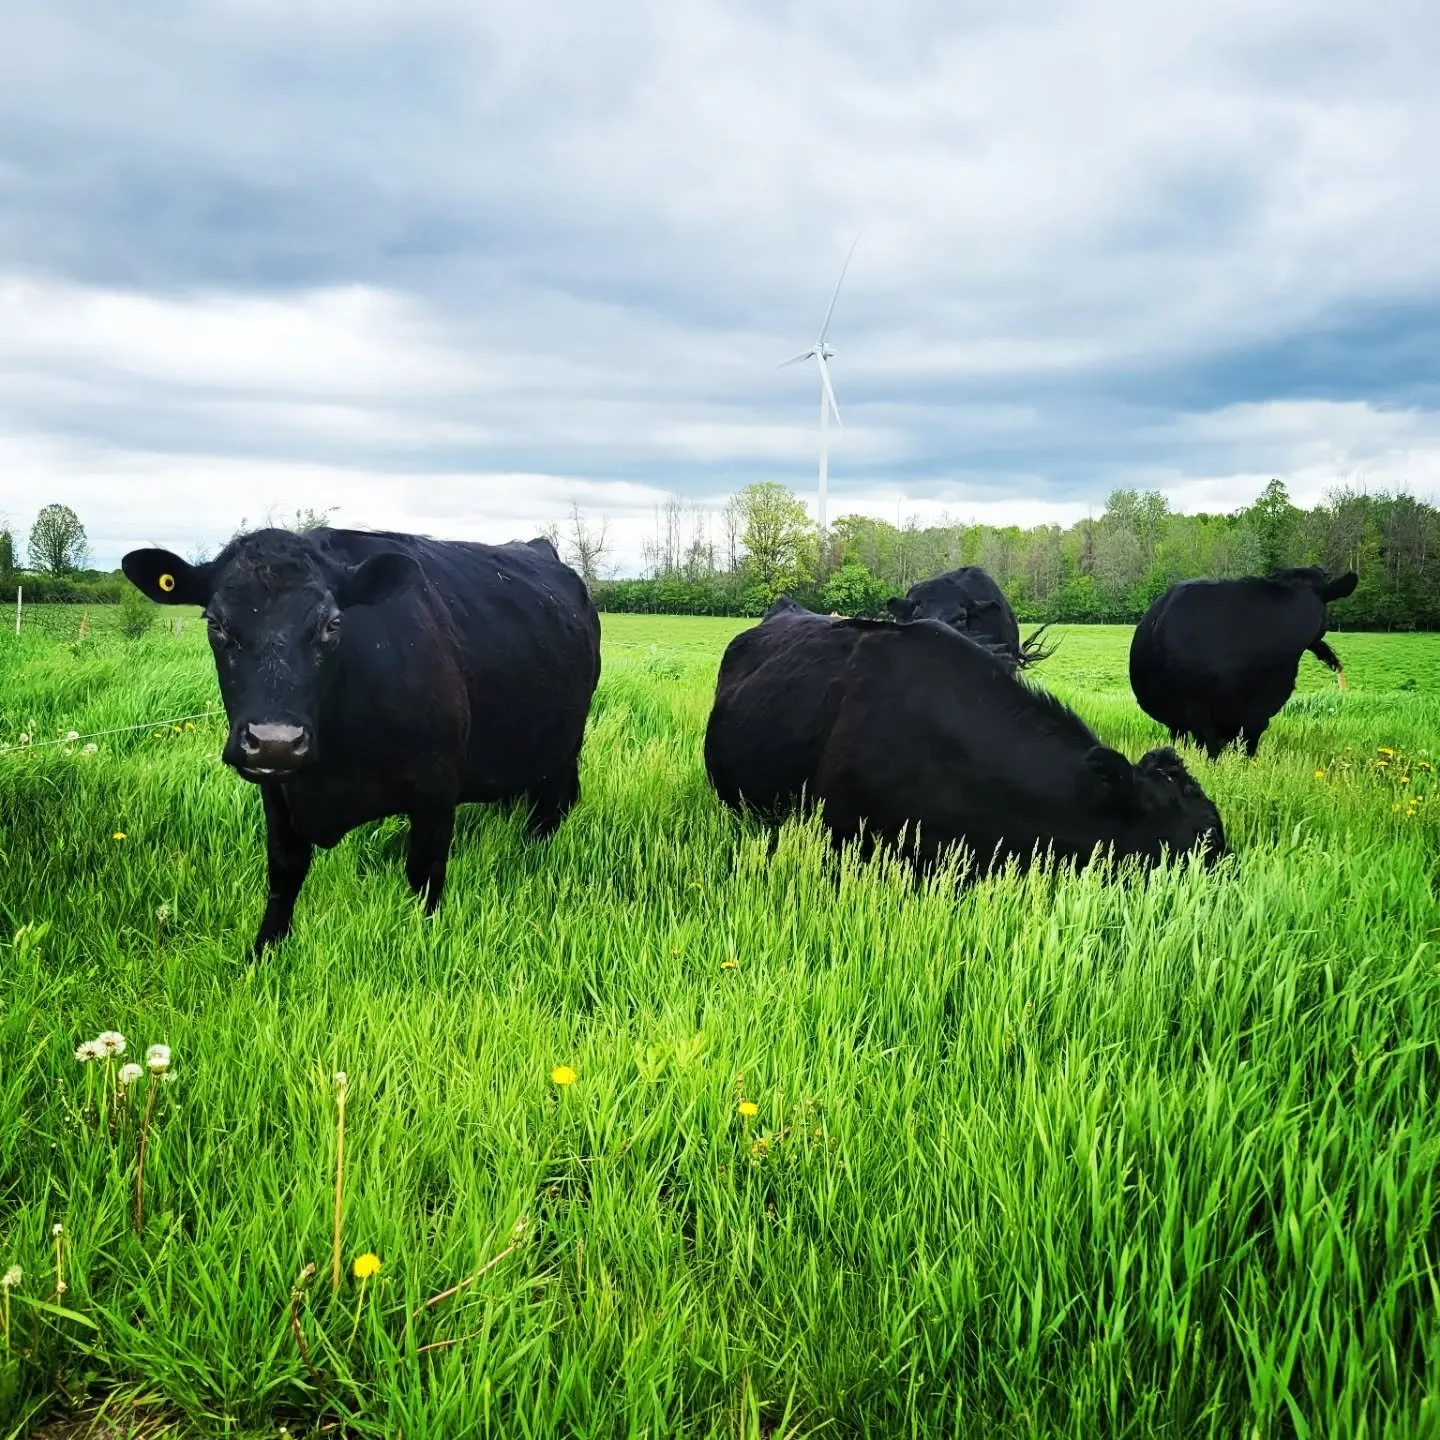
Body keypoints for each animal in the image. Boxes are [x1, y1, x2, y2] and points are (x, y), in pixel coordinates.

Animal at [122, 525, 602, 953]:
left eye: (333, 624)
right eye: (216, 624)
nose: (276, 740)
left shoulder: (437, 785)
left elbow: (424, 871)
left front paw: (424, 944)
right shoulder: (277, 790)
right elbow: (284, 870)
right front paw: (264, 952)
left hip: (564, 749)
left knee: (549, 814)